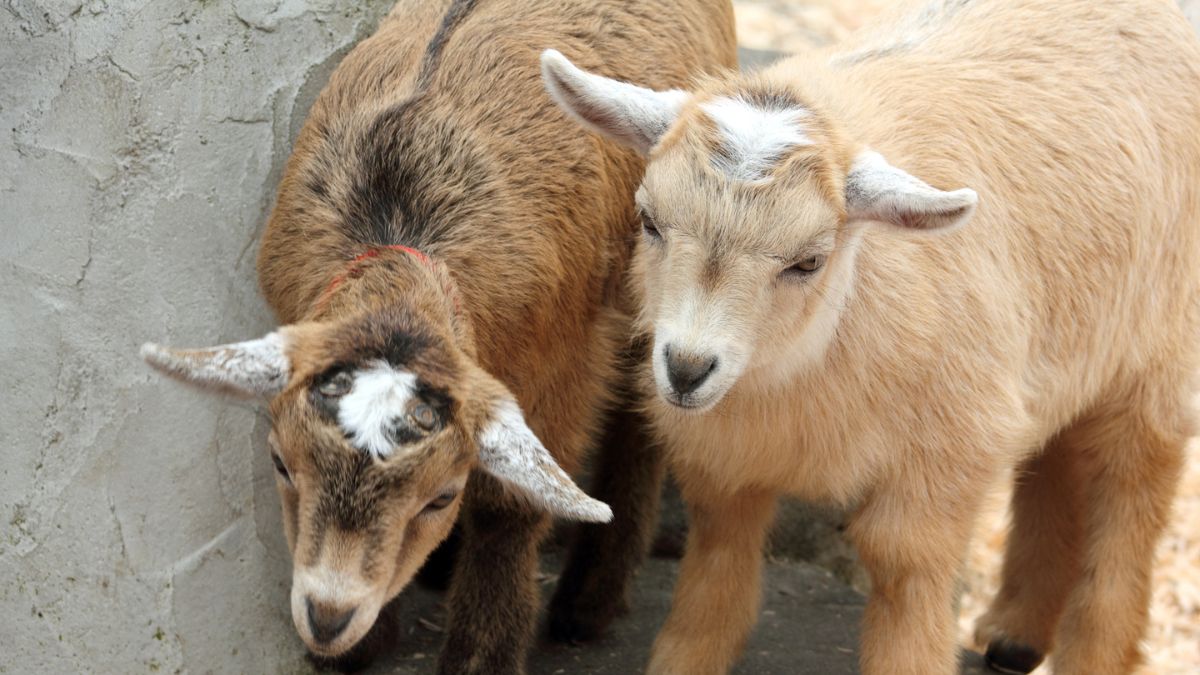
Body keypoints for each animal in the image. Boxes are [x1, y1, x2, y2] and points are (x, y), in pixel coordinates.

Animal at [145, 0, 734, 667]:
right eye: (280, 463)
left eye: (441, 498)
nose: (327, 616)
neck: (400, 211)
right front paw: (361, 647)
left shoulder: (561, 360)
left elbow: (512, 509)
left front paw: (481, 654)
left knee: (645, 419)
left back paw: (588, 603)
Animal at [544, 1, 1200, 672]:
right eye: (648, 220)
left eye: (809, 261)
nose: (686, 367)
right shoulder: (726, 457)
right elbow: (719, 560)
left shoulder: (952, 451)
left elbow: (902, 566)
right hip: (1076, 338)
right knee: (1060, 453)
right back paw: (1014, 633)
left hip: (1159, 347)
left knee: (1133, 486)